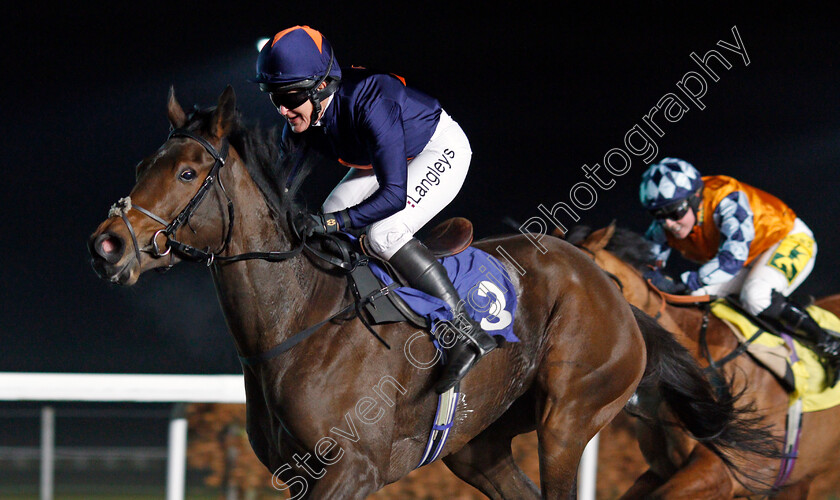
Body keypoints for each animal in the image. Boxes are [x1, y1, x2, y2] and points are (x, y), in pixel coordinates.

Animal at [88, 88, 776, 498]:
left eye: (187, 173)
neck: (295, 322)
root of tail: (615, 294)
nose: (108, 245)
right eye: (141, 168)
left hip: (568, 419)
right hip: (480, 444)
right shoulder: (298, 475)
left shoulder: (352, 469)